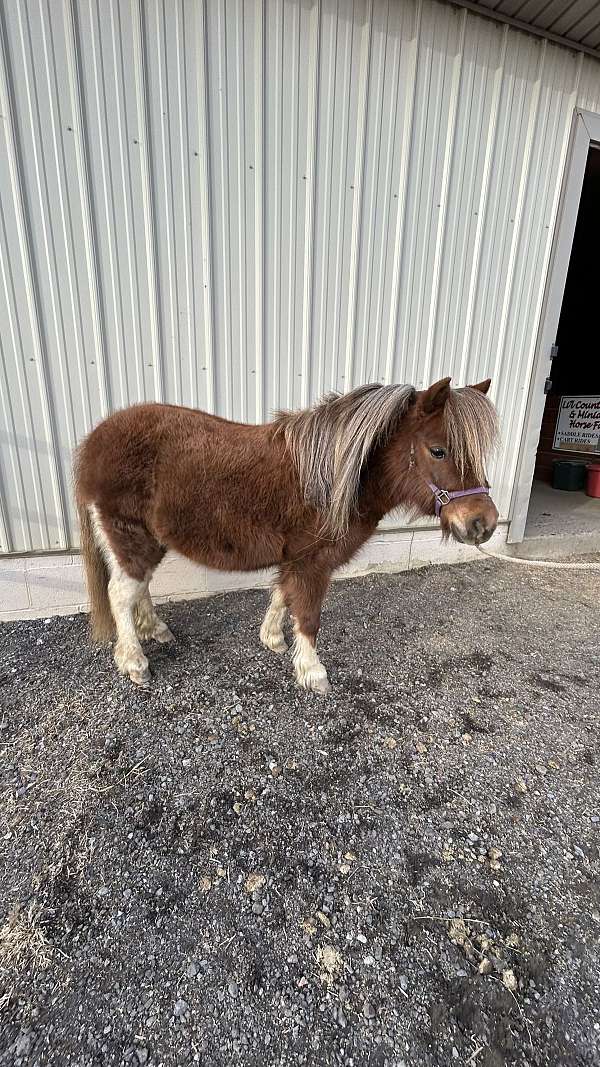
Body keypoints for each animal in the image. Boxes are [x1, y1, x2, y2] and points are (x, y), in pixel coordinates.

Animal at [73, 379, 495, 695]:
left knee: (139, 586)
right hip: (128, 535)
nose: (484, 523)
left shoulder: (295, 557)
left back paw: (156, 631)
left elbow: (281, 594)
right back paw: (134, 662)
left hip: (149, 540)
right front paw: (313, 672)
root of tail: (96, 439)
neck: (333, 479)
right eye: (438, 450)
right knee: (121, 593)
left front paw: (272, 638)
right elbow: (308, 615)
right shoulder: (313, 561)